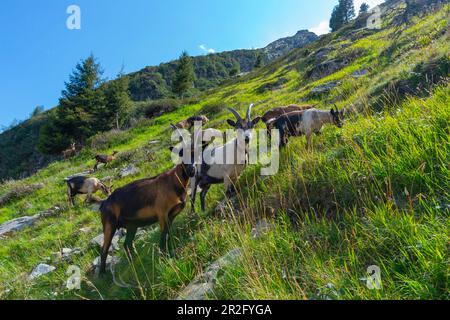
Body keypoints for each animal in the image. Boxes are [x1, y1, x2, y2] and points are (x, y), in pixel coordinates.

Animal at [98, 131, 197, 274]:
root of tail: (103, 204)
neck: (174, 182)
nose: (191, 170)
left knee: (127, 244)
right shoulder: (162, 213)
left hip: (131, 225)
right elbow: (163, 235)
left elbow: (167, 233)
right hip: (109, 224)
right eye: (181, 154)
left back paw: (134, 261)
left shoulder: (172, 214)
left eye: (197, 153)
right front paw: (163, 255)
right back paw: (102, 274)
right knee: (104, 249)